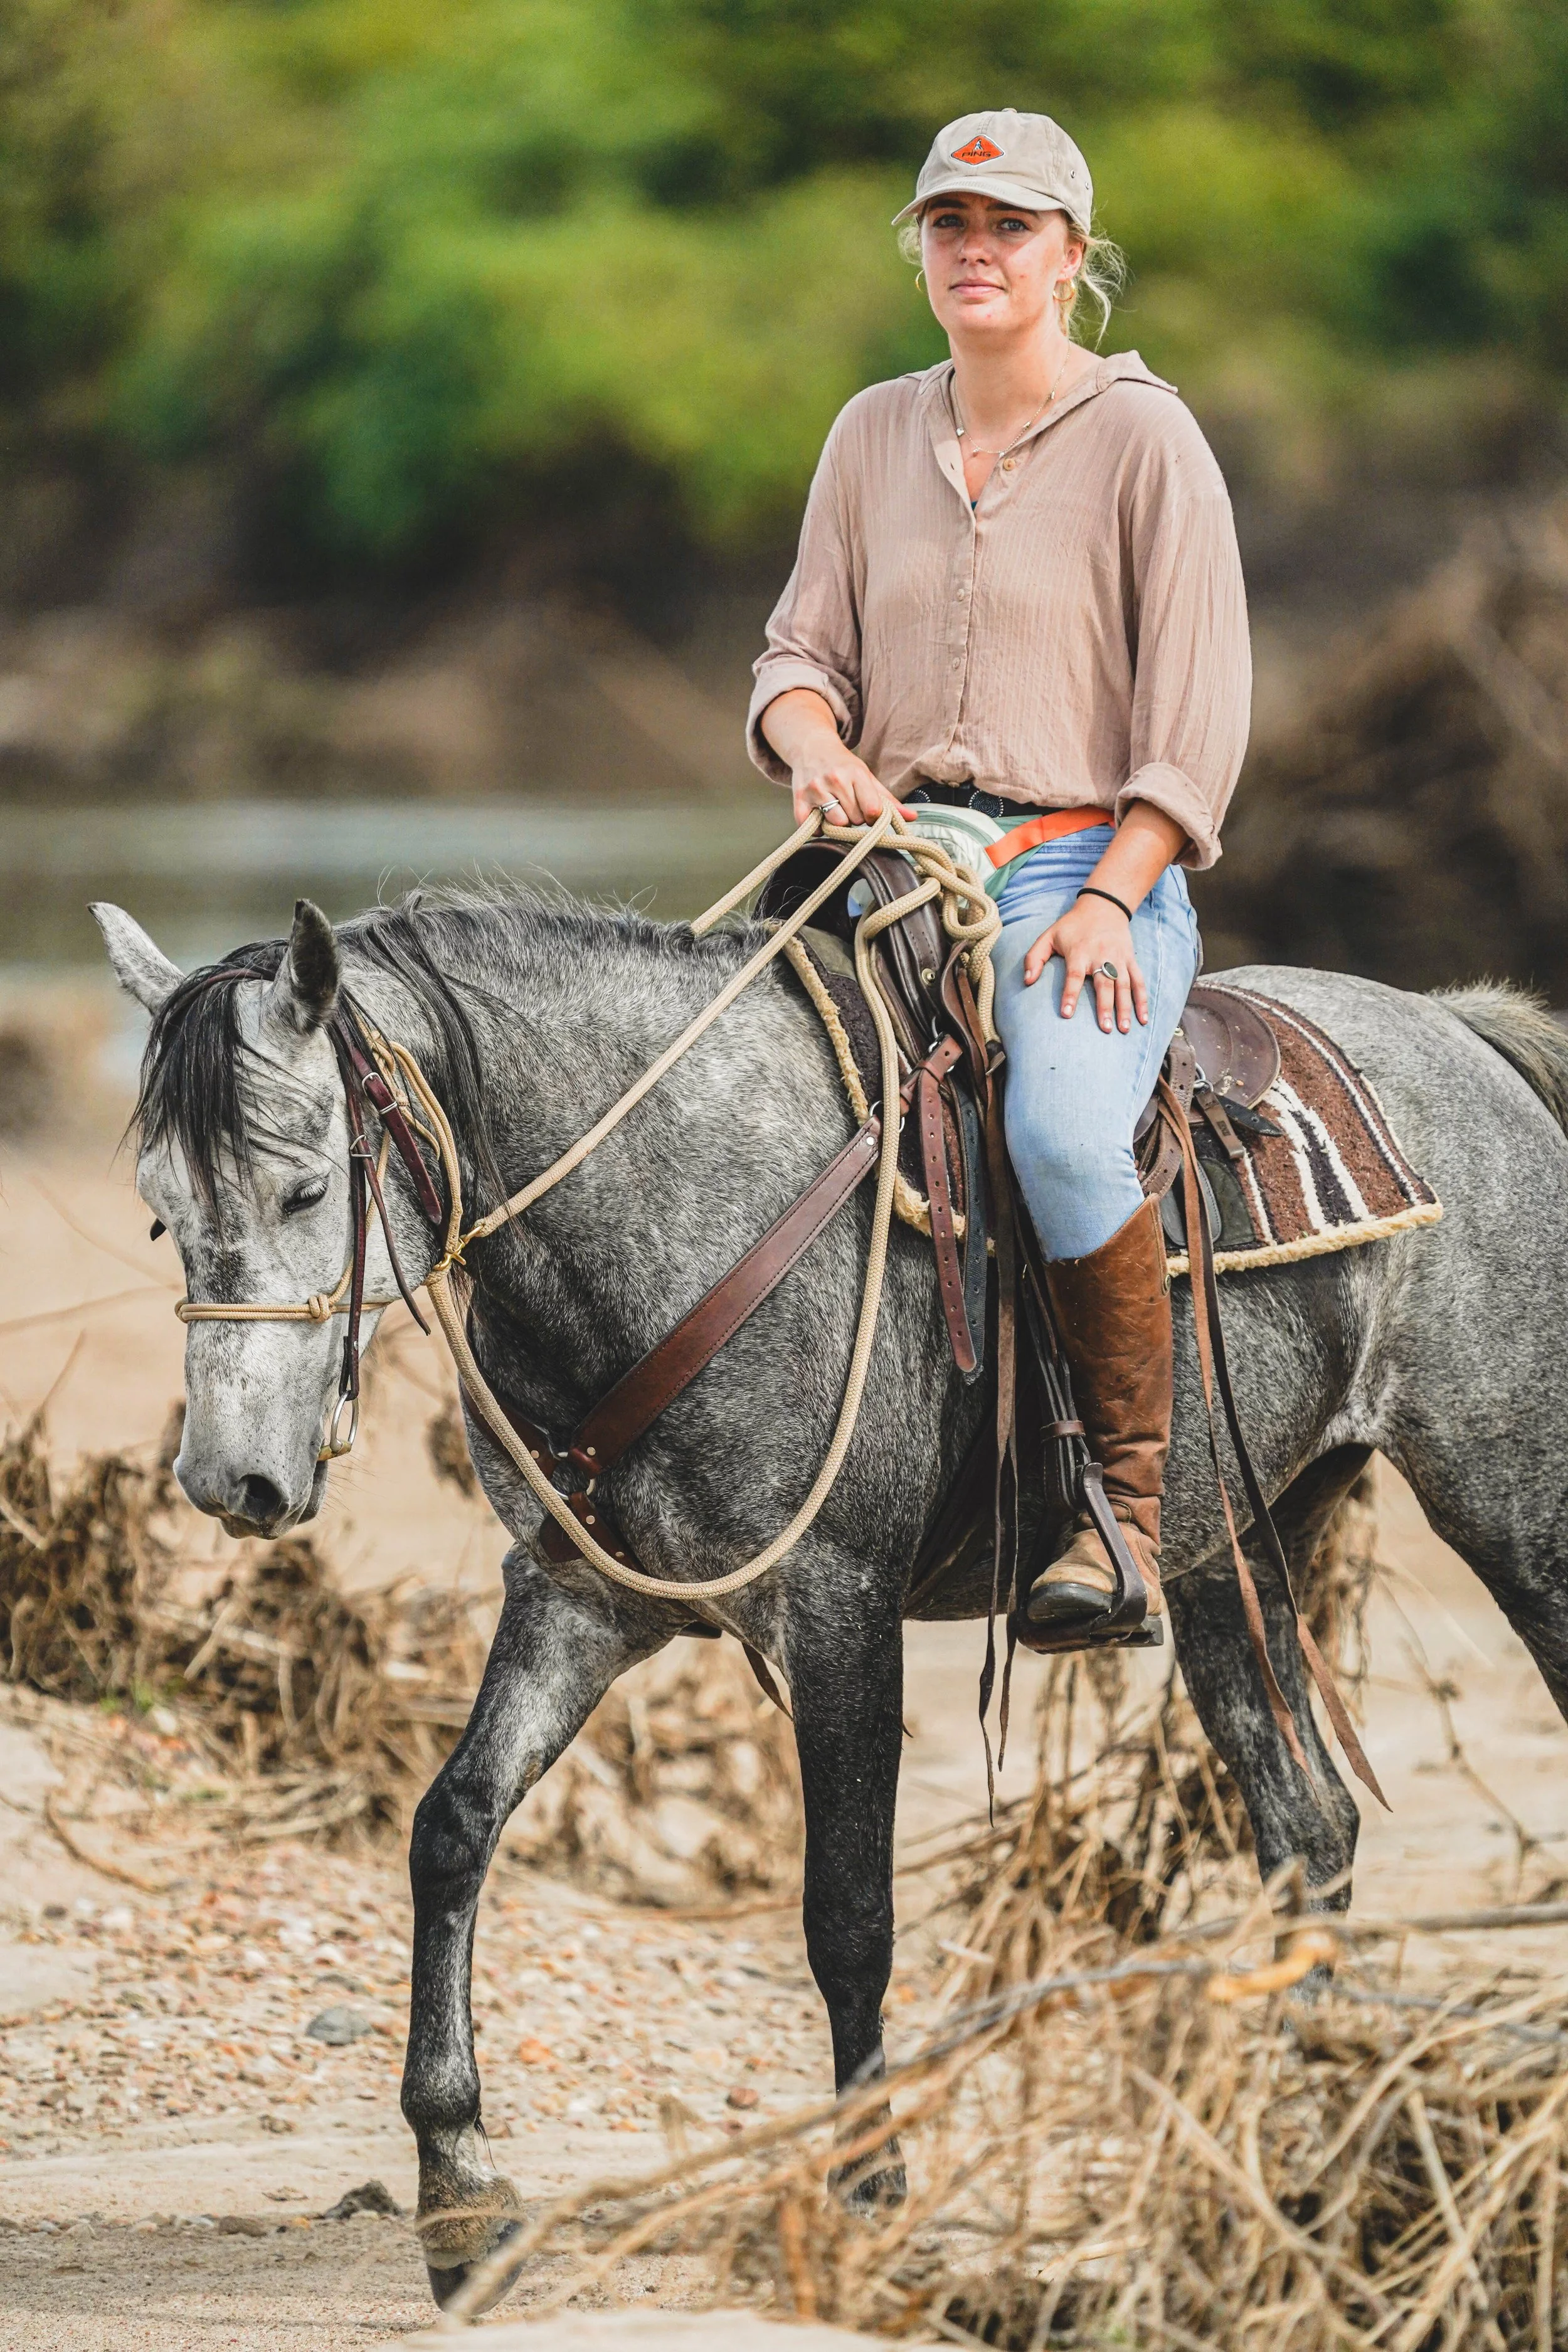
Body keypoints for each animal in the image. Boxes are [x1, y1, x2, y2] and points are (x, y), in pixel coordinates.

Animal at [93, 882, 1568, 2308]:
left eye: (303, 1193)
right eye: (160, 1205)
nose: (230, 1480)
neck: (681, 1214)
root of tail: (1458, 1029)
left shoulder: (836, 1611)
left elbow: (847, 1912)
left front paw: (867, 2185)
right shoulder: (581, 1603)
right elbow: (453, 1828)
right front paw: (460, 2191)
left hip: (1510, 1514)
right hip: (1228, 1563)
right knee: (1308, 1832)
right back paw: (1288, 2140)